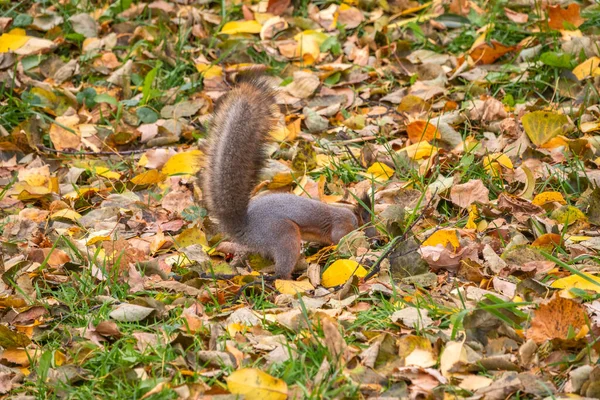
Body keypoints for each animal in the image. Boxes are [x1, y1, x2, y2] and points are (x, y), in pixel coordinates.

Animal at [202, 76, 360, 280]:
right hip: (284, 235)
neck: (339, 214)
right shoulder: (336, 228)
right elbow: (335, 239)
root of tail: (245, 229)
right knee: (282, 270)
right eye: (353, 224)